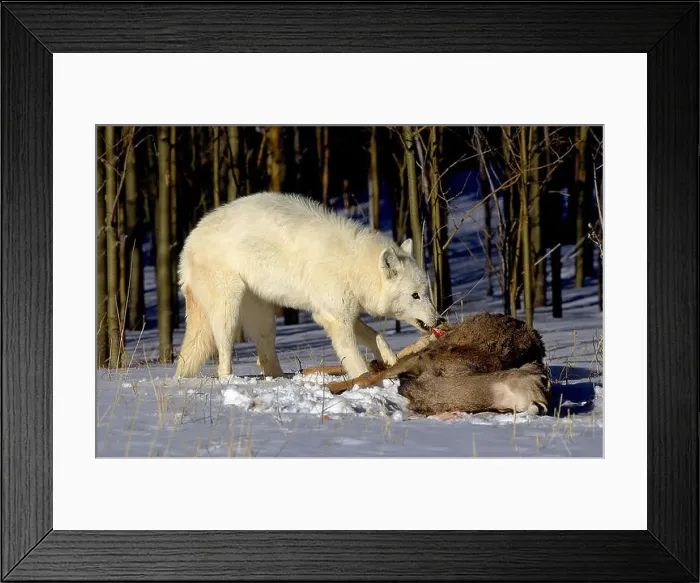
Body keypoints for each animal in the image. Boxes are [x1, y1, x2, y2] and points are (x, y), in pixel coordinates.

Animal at [175, 192, 442, 379]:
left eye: (427, 293)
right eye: (415, 296)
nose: (439, 320)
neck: (352, 265)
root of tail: (189, 243)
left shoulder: (337, 313)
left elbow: (377, 337)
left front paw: (390, 360)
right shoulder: (336, 319)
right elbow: (356, 361)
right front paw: (365, 380)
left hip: (264, 320)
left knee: (266, 358)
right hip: (229, 312)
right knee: (224, 357)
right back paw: (230, 379)